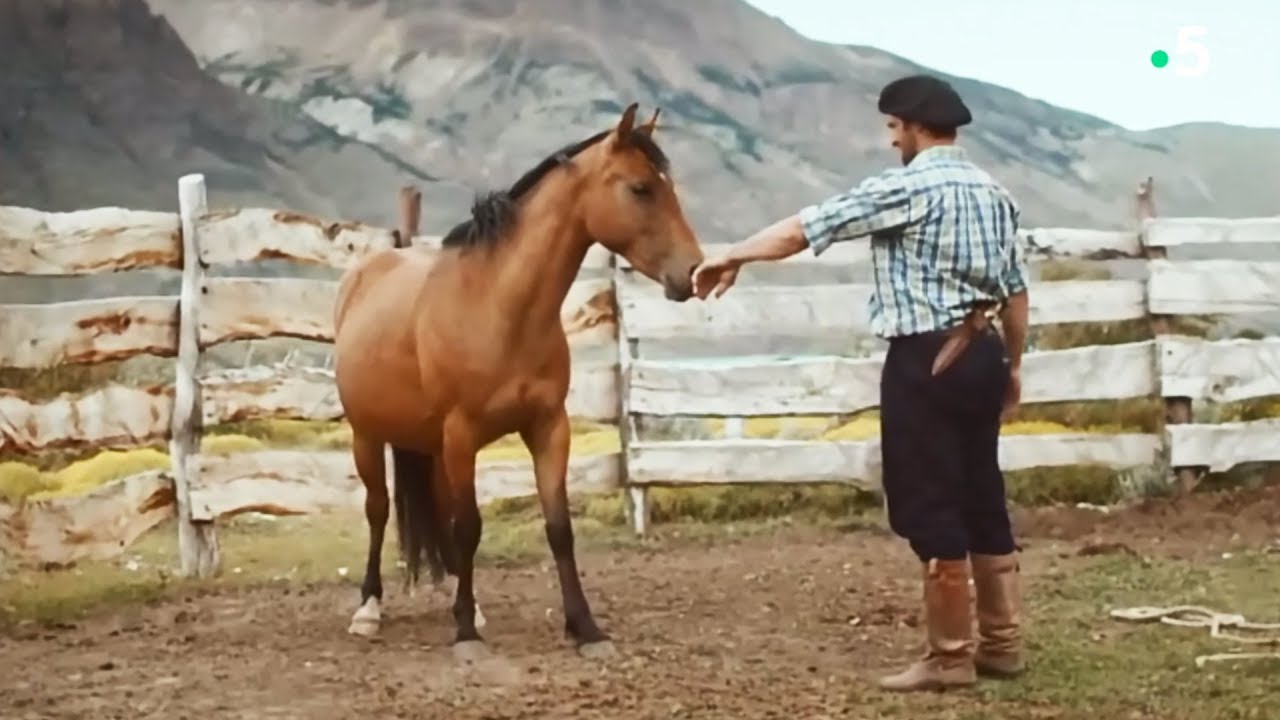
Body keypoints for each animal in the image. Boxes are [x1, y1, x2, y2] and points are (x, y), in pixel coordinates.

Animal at [331, 103, 705, 659]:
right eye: (641, 188)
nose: (694, 272)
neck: (500, 307)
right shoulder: (462, 433)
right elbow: (469, 527)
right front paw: (466, 634)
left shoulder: (548, 428)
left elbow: (558, 528)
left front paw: (584, 628)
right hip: (369, 436)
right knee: (378, 511)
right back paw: (370, 609)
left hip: (432, 447)